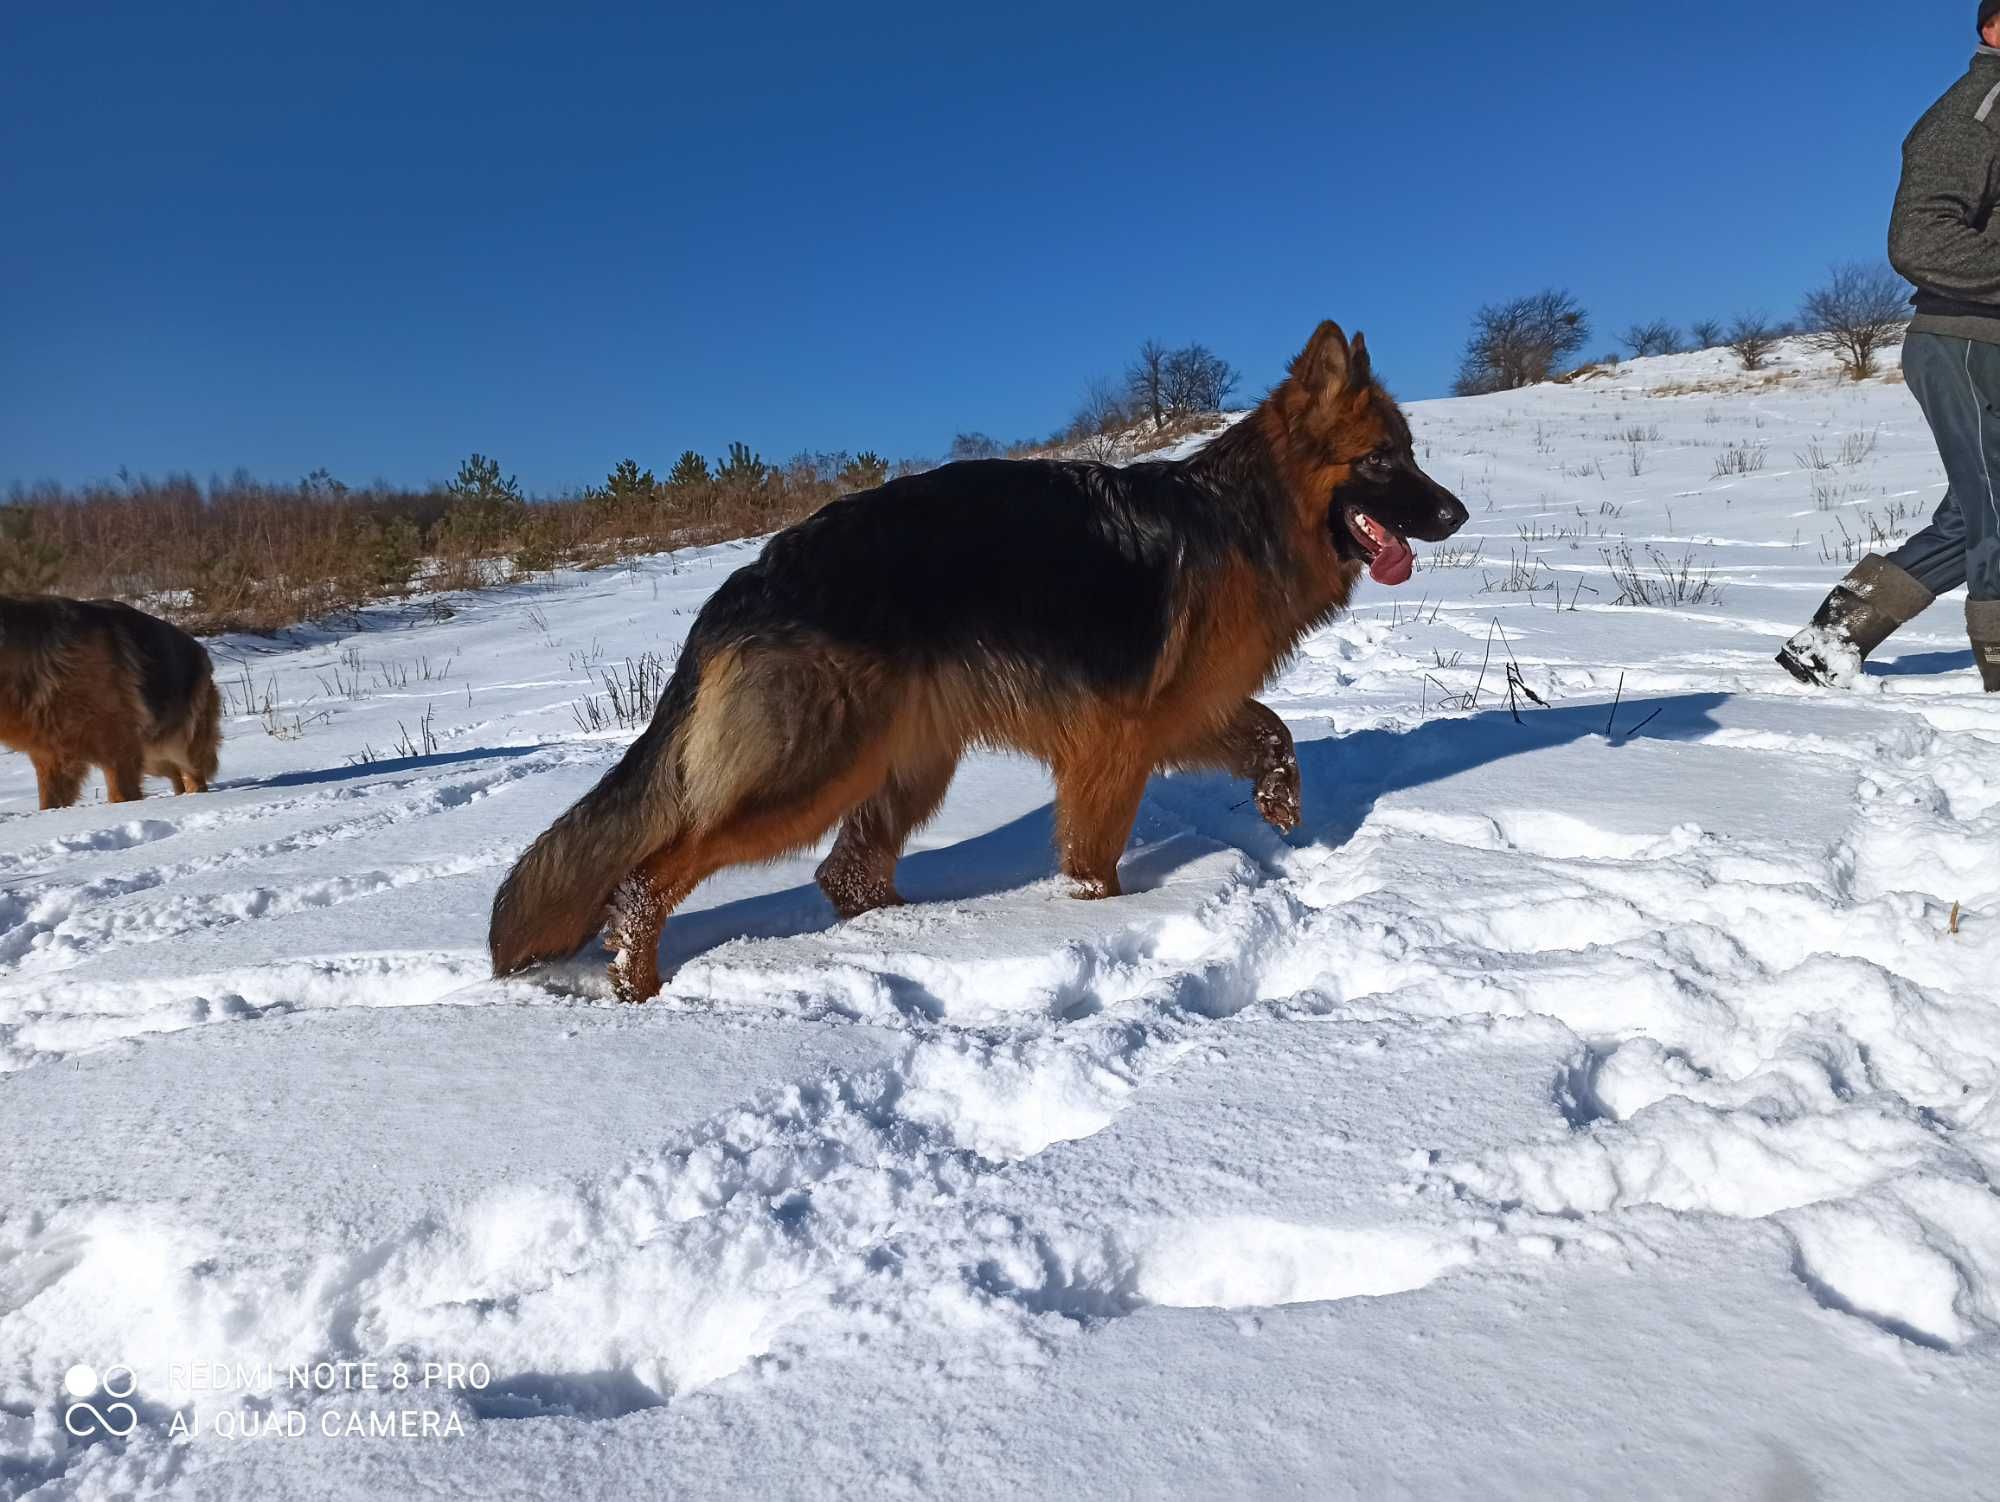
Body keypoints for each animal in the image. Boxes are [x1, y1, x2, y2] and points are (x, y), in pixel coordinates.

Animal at [0, 596, 221, 812]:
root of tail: (202, 650)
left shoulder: (118, 750)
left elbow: (121, 796)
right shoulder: (51, 759)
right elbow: (48, 804)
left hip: (180, 745)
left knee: (192, 773)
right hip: (153, 756)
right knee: (176, 775)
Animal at [492, 320, 1472, 1000]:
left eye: (1410, 454)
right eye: (1380, 459)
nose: (1457, 515)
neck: (1248, 517)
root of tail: (750, 579)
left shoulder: (1182, 714)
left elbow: (1275, 735)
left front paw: (1280, 807)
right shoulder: (1114, 748)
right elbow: (1095, 864)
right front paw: (1096, 922)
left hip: (905, 765)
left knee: (846, 875)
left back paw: (924, 938)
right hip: (814, 773)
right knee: (646, 879)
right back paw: (639, 986)